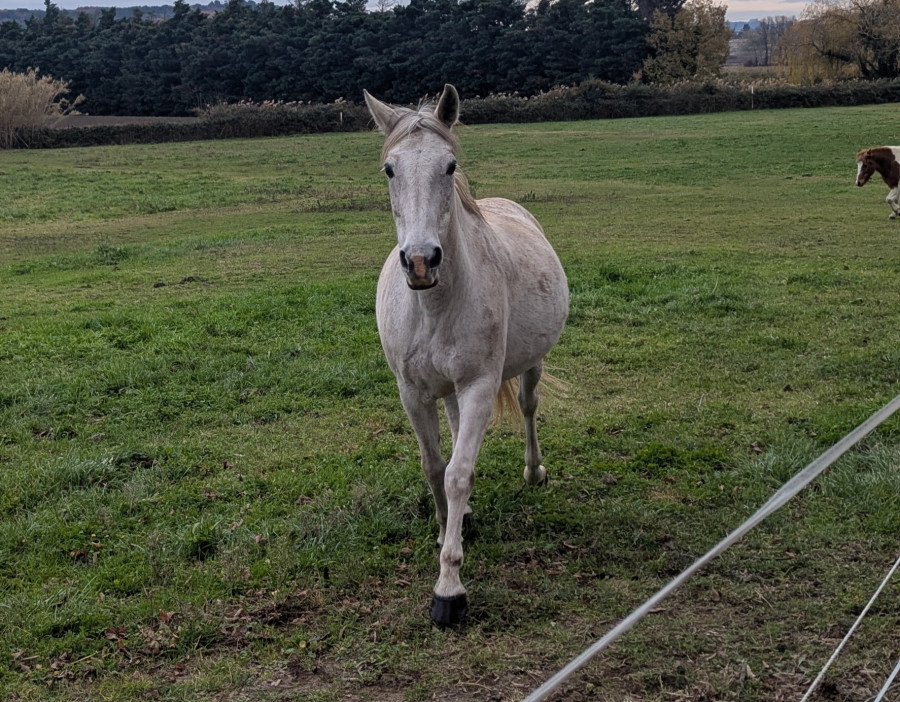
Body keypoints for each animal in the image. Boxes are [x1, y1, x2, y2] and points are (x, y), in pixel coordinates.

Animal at [363, 84, 569, 626]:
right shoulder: (413, 393)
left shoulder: (478, 386)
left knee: (528, 409)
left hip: (528, 367)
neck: (435, 304)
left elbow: (457, 474)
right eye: (389, 169)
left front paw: (449, 587)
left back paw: (534, 472)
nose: (420, 261)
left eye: (450, 166)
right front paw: (446, 529)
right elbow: (436, 465)